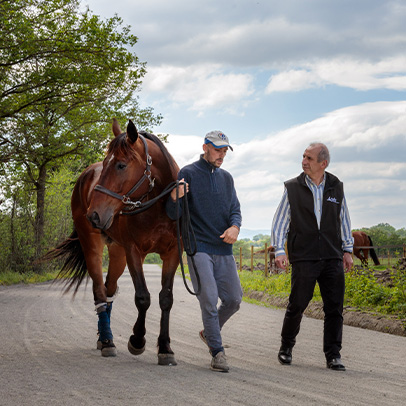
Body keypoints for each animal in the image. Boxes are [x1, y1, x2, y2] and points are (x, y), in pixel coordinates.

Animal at [45, 118, 181, 364]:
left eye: (121, 165)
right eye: (108, 163)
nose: (94, 215)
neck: (158, 207)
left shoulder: (172, 253)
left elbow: (166, 298)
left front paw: (165, 348)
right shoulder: (134, 252)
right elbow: (142, 297)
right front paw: (137, 340)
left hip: (117, 252)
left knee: (109, 290)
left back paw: (103, 337)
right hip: (93, 246)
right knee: (99, 291)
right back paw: (107, 341)